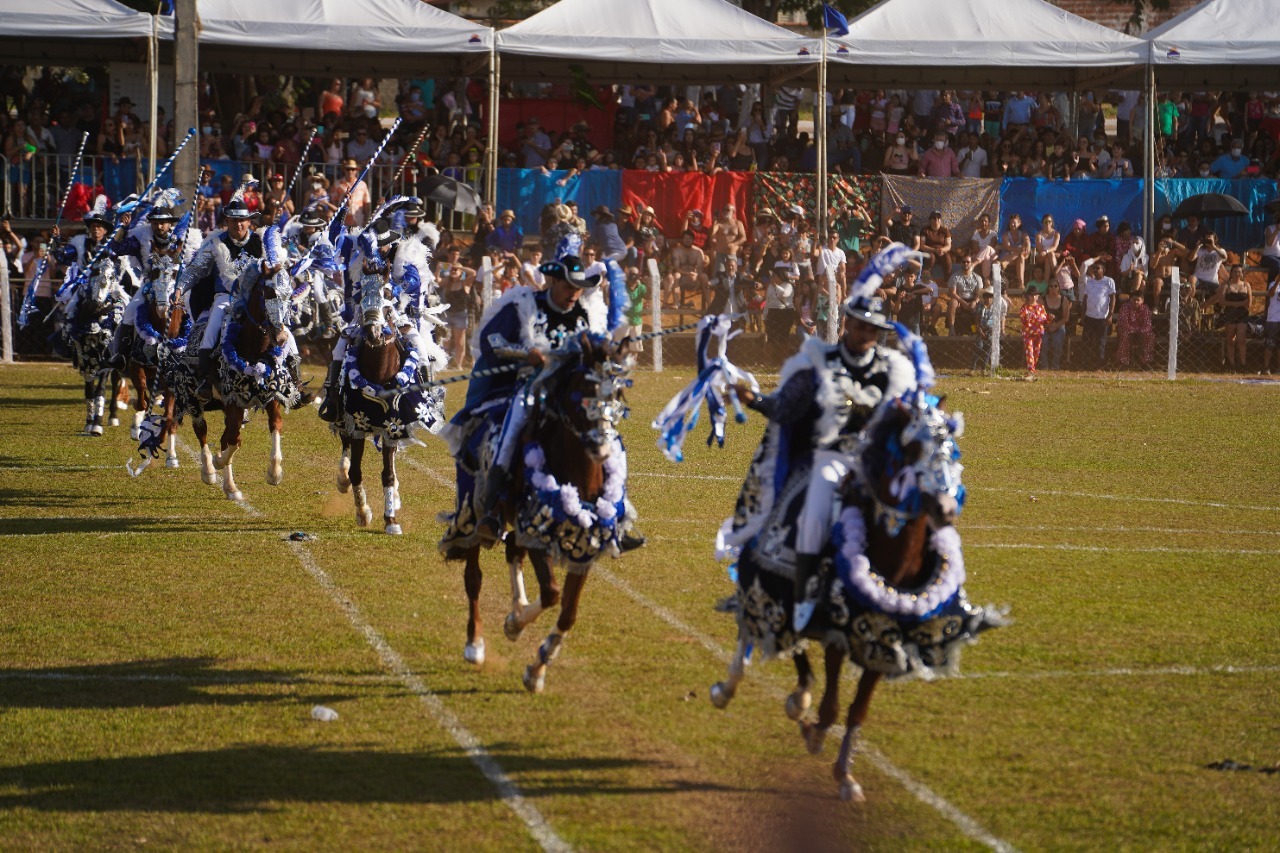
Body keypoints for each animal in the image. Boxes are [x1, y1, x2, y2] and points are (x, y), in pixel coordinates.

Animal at [60, 257, 129, 432]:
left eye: (112, 277)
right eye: (94, 272)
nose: (95, 306)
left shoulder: (106, 362)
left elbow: (100, 390)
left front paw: (97, 424)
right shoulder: (84, 362)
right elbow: (89, 391)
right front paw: (89, 422)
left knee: (116, 382)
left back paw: (113, 417)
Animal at [335, 275, 445, 532]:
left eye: (387, 304)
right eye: (362, 301)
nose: (374, 333)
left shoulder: (392, 426)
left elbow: (387, 473)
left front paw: (391, 519)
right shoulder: (358, 424)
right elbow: (356, 471)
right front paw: (363, 511)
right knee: (344, 448)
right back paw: (342, 479)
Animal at [445, 333, 634, 691]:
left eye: (617, 393)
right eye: (581, 393)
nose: (601, 446)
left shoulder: (586, 542)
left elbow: (568, 611)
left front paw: (536, 668)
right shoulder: (534, 529)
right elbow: (551, 593)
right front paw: (514, 626)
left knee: (511, 552)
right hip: (473, 511)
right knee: (473, 576)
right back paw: (475, 644)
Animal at [711, 389, 1008, 799]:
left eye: (950, 447)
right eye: (911, 448)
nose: (946, 508)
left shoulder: (884, 640)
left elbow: (857, 709)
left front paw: (844, 774)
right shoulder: (841, 631)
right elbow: (832, 706)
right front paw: (816, 736)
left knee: (791, 641)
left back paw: (797, 697)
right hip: (766, 585)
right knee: (758, 627)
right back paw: (731, 687)